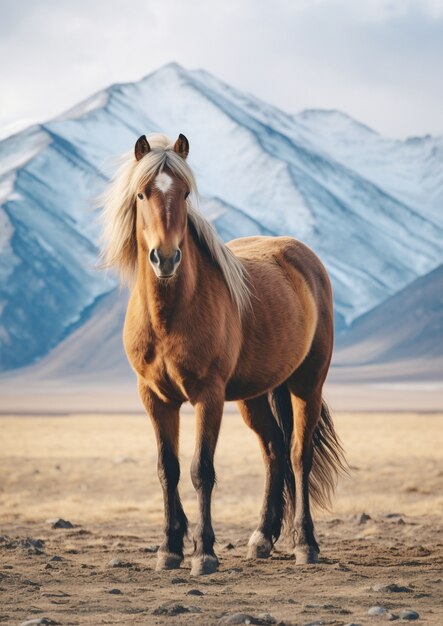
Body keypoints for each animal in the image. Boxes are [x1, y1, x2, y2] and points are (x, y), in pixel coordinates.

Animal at [100, 132, 346, 576]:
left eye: (185, 192)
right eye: (142, 194)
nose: (166, 257)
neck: (171, 313)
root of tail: (304, 258)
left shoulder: (208, 396)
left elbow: (202, 470)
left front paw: (204, 554)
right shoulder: (155, 398)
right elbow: (168, 469)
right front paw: (169, 549)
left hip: (307, 384)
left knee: (299, 455)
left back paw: (306, 543)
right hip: (254, 395)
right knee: (274, 451)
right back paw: (263, 537)